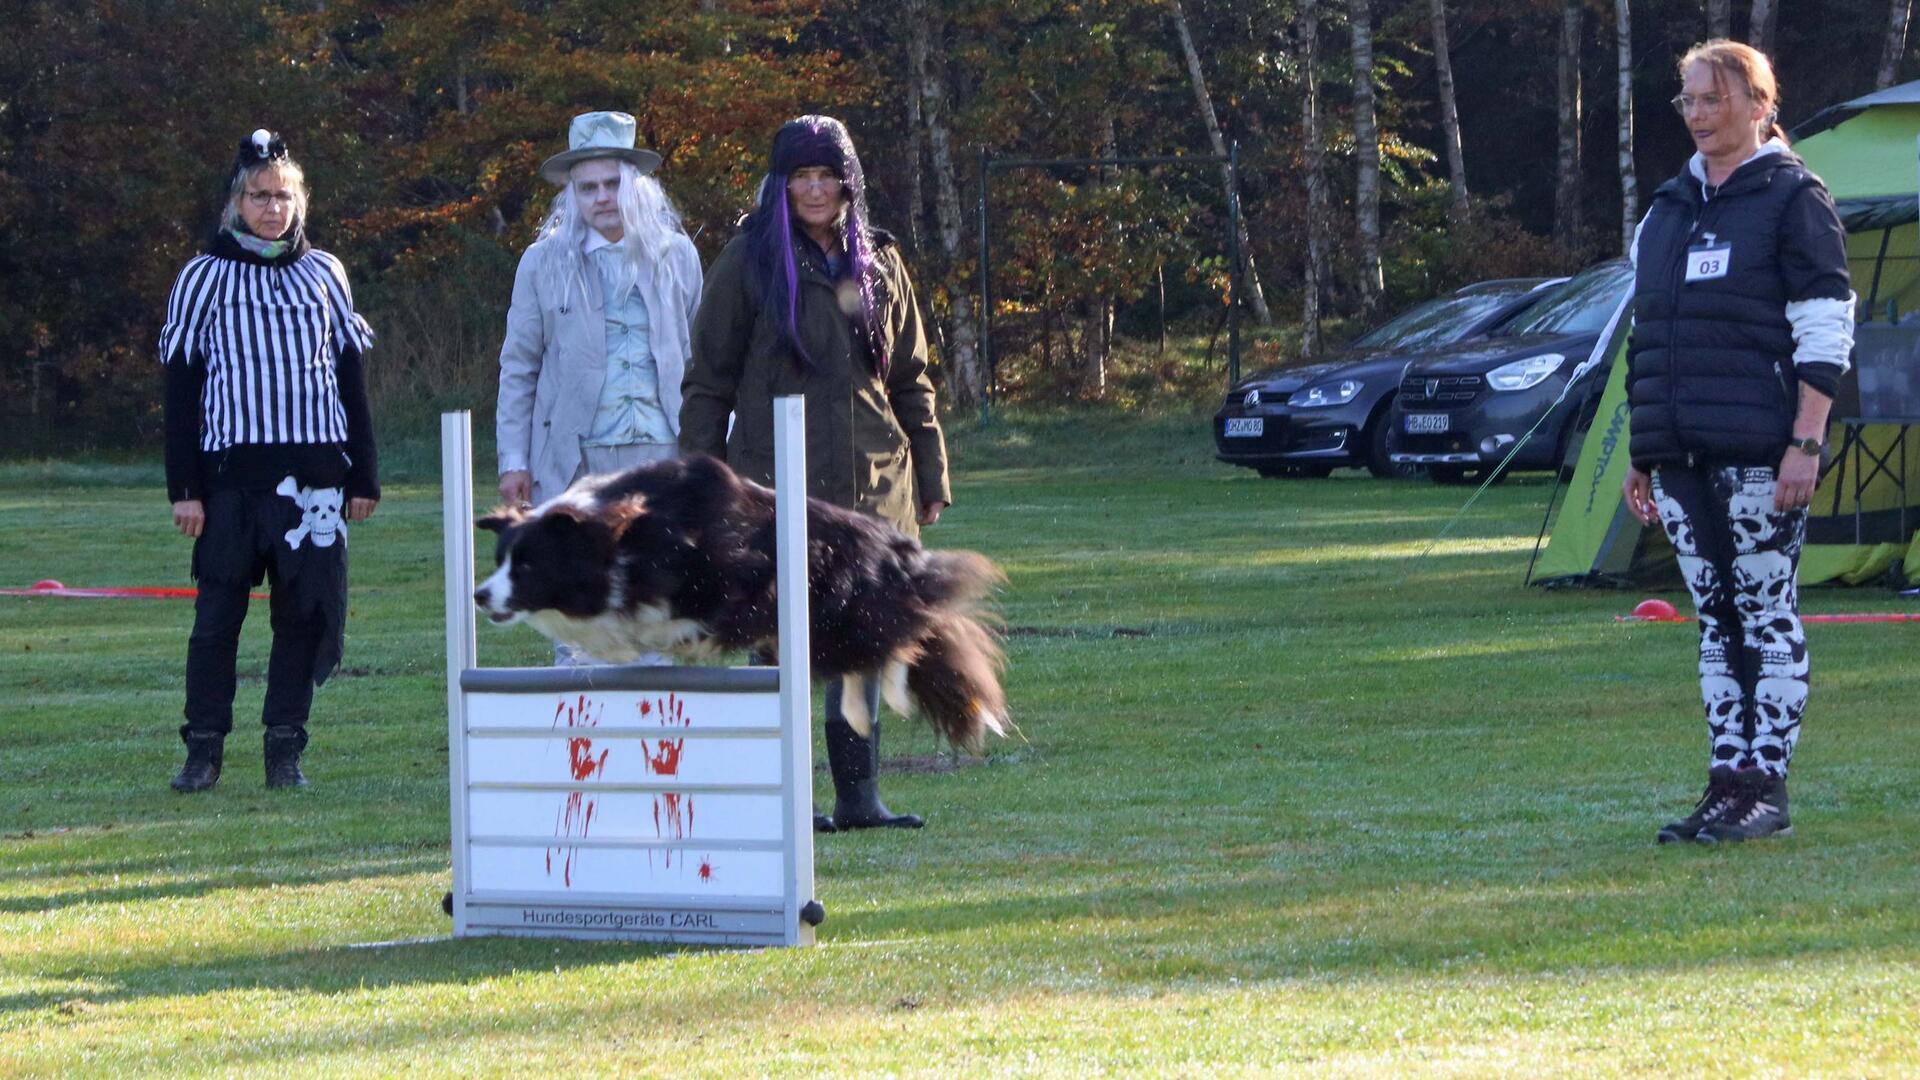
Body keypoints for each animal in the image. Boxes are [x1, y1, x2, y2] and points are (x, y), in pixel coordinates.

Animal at [474, 453, 1006, 749]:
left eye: (526, 566)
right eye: (500, 560)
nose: (479, 594)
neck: (629, 534)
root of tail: (901, 549)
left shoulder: (733, 577)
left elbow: (693, 618)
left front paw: (681, 638)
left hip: (841, 615)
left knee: (895, 642)